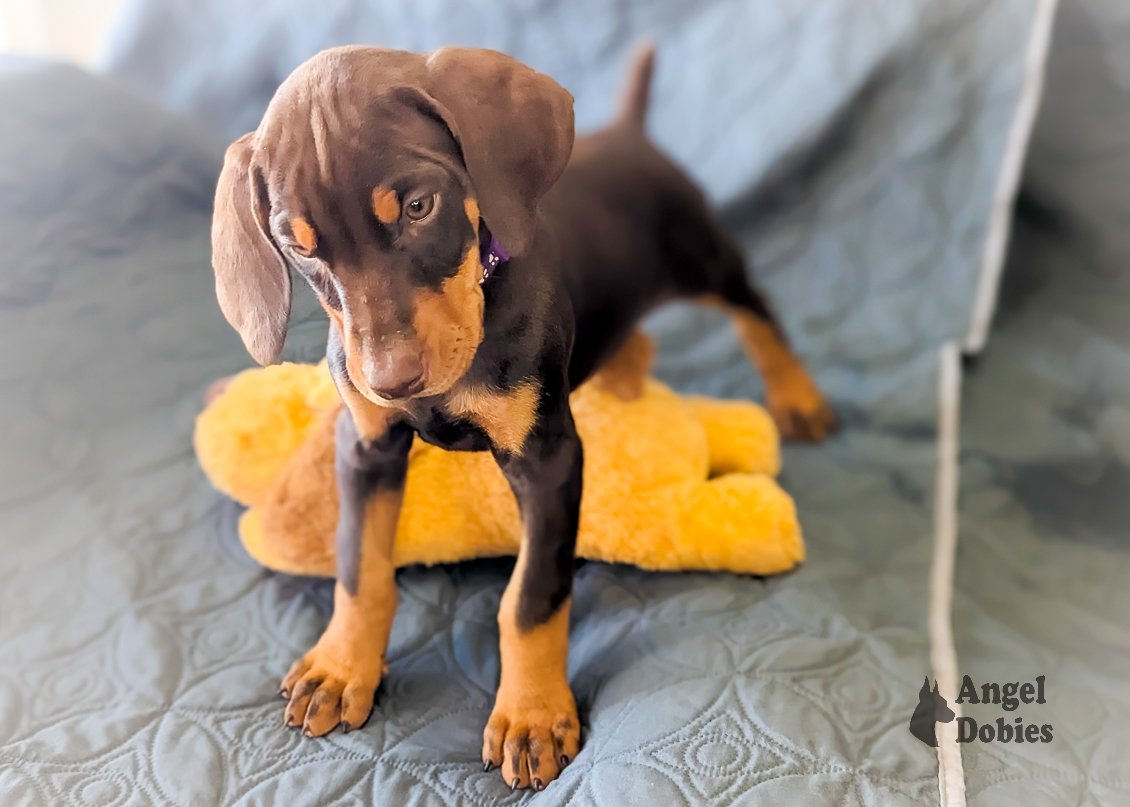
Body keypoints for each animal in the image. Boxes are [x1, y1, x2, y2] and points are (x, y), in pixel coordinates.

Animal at [212, 42, 836, 786]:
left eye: (420, 205)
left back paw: (797, 396)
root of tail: (628, 131)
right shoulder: (365, 447)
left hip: (705, 259)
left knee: (757, 314)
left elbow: (530, 598)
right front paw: (341, 667)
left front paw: (531, 715)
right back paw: (623, 382)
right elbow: (360, 569)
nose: (392, 383)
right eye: (302, 248)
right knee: (637, 339)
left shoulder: (548, 460)